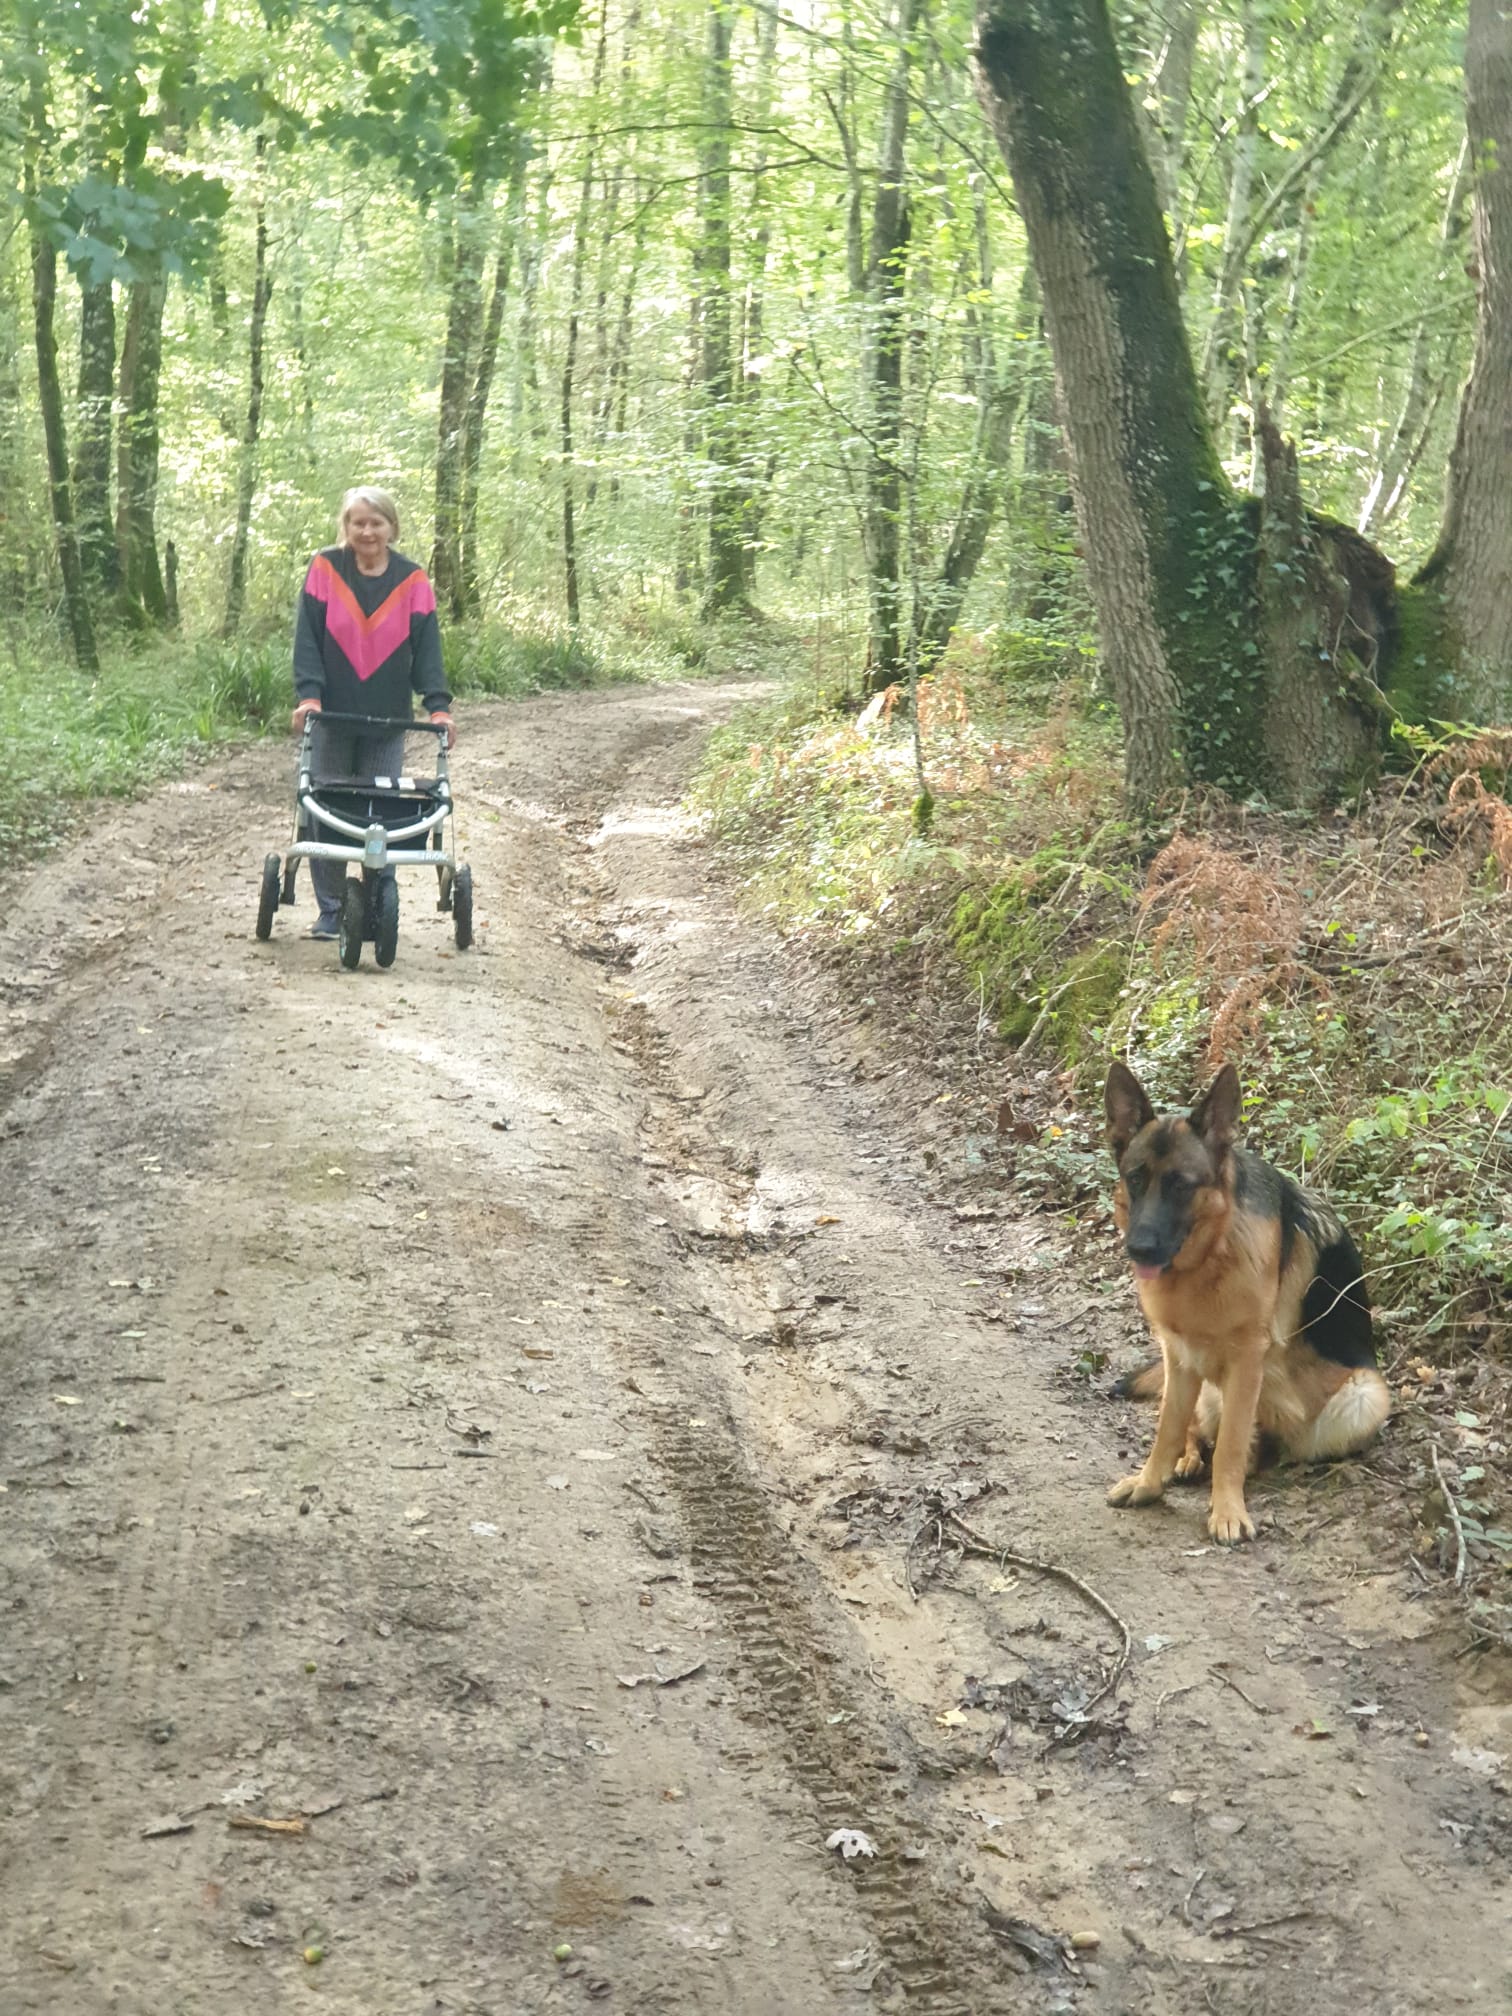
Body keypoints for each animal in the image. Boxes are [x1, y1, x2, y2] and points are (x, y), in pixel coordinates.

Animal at [1104, 1059, 1390, 1544]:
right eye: (1136, 1178)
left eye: (1182, 1186)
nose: (1139, 1249)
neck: (1210, 1256)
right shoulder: (1179, 1355)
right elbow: (1166, 1428)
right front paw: (1149, 1483)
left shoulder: (1245, 1363)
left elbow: (1231, 1447)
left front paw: (1227, 1511)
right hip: (1205, 1383)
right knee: (1193, 1428)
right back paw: (1187, 1459)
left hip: (1362, 1397)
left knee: (1251, 1448)